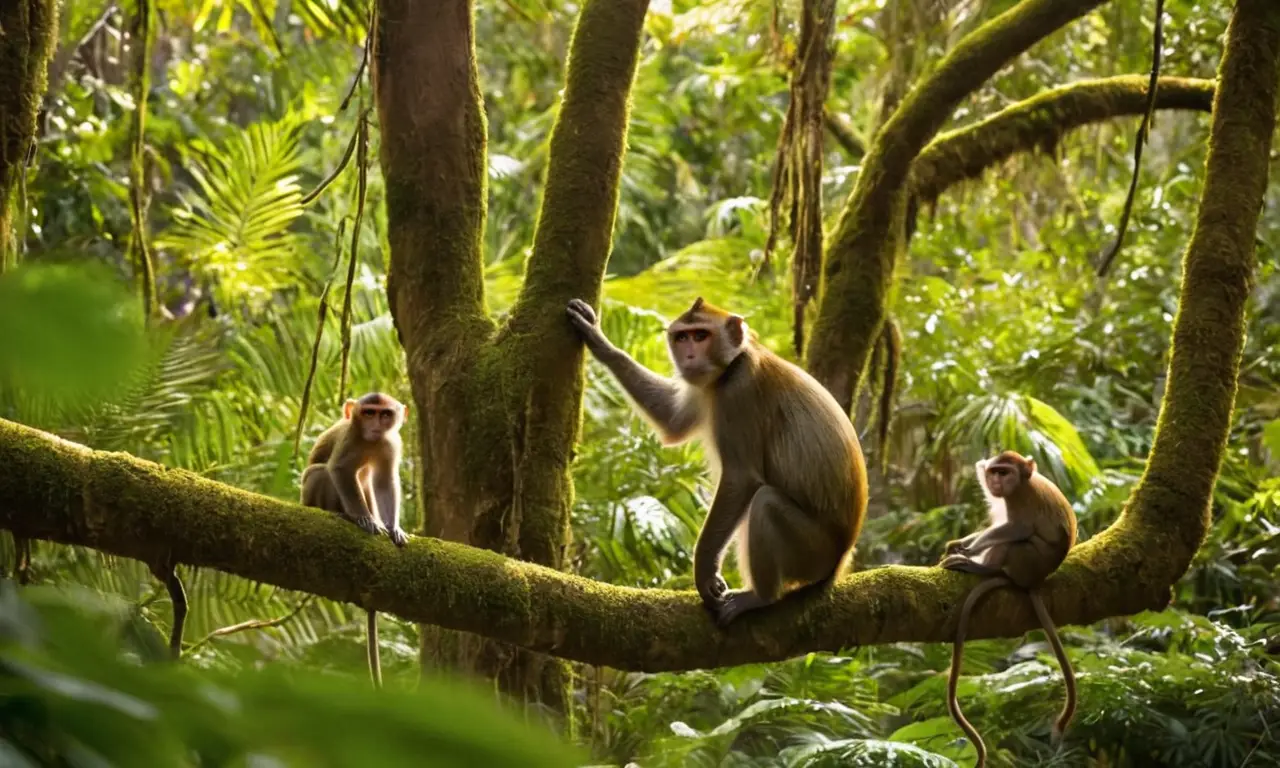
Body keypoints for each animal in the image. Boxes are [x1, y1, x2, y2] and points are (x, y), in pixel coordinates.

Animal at [300, 391, 411, 688]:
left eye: (385, 415)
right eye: (369, 413)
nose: (375, 427)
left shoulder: (391, 443)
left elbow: (384, 481)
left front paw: (393, 527)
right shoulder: (350, 438)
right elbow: (339, 470)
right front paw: (365, 520)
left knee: (365, 479)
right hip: (309, 500)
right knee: (321, 472)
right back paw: (341, 514)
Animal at [566, 296, 868, 626]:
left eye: (701, 336)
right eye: (682, 337)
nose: (688, 356)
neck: (735, 362)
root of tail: (840, 561)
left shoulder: (739, 392)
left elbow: (741, 477)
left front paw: (703, 570)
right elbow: (673, 421)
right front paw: (600, 341)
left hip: (811, 552)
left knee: (765, 501)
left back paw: (761, 597)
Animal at [939, 450, 1078, 767]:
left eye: (1005, 473)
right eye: (993, 472)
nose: (996, 482)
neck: (1019, 485)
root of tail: (1034, 581)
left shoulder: (1020, 499)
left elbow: (1016, 529)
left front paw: (969, 550)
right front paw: (961, 543)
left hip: (1028, 561)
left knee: (1016, 542)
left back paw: (984, 568)